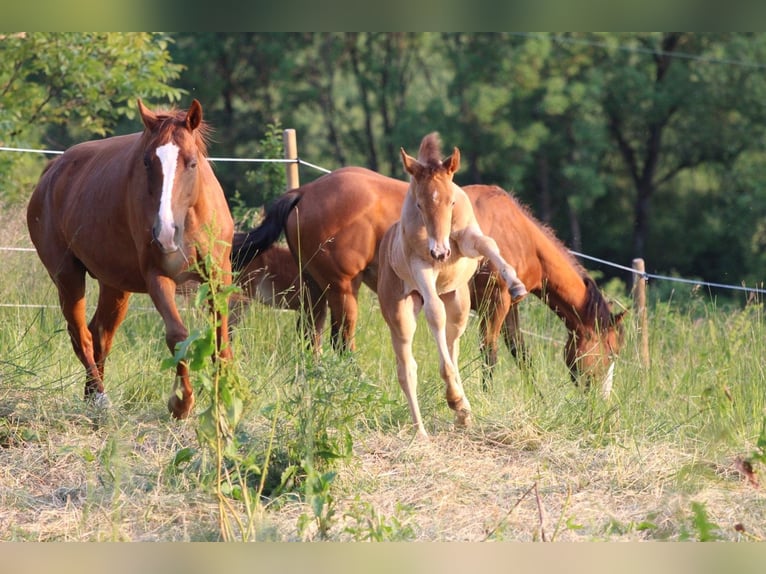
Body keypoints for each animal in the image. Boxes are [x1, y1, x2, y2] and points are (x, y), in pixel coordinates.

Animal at [27, 99, 234, 420]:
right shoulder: (158, 278)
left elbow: (221, 337)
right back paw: (101, 399)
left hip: (115, 286)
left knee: (99, 334)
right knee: (81, 336)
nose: (165, 233)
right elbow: (177, 335)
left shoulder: (218, 278)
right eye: (147, 162)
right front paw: (181, 402)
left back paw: (91, 396)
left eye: (192, 162)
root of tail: (51, 172)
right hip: (67, 277)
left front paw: (224, 398)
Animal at [237, 169, 628, 398]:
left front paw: (535, 396)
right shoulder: (495, 303)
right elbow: (491, 353)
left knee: (310, 338)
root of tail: (304, 191)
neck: (518, 233)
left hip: (315, 289)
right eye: (610, 351)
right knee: (341, 342)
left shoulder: (508, 307)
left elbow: (521, 354)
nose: (601, 400)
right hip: (342, 289)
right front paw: (487, 395)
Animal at [376, 135, 528, 438]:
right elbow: (434, 314)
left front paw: (517, 285)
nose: (441, 253)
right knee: (407, 369)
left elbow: (488, 243)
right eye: (419, 204)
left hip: (458, 304)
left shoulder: (468, 239)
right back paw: (425, 429)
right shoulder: (421, 267)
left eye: (452, 201)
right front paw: (454, 400)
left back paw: (463, 414)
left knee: (452, 346)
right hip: (400, 314)